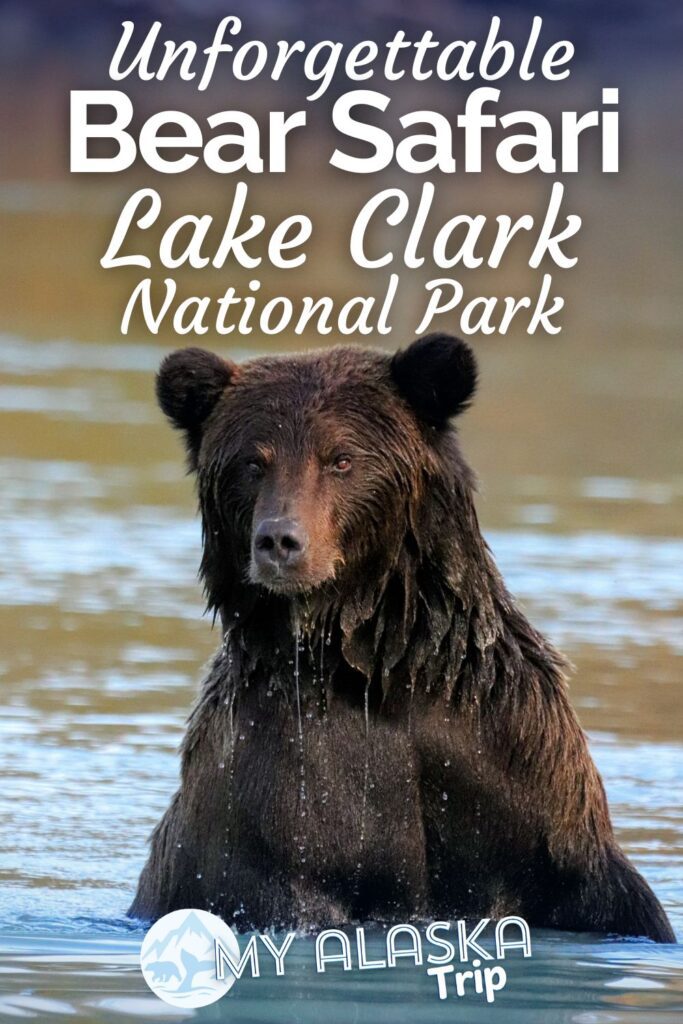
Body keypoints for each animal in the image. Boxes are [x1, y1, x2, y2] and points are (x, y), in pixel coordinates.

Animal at [131, 335, 675, 942]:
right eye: (253, 462)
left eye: (341, 458)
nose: (279, 541)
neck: (374, 668)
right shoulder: (271, 798)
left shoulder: (514, 762)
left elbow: (601, 889)